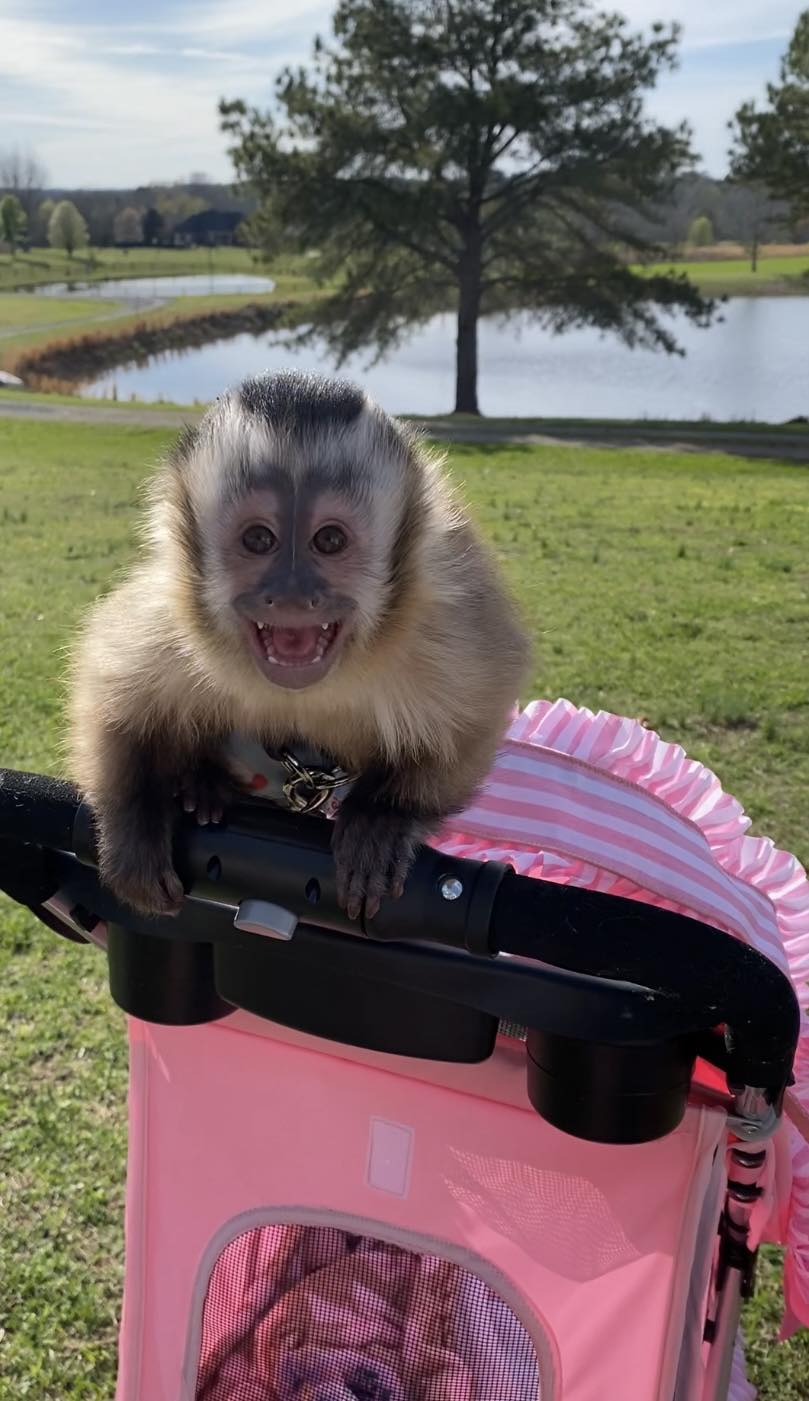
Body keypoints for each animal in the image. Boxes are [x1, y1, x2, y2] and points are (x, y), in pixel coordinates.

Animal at [68, 370, 530, 922]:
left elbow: (471, 720)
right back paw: (200, 782)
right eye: (258, 539)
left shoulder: (445, 620)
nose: (290, 594)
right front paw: (135, 825)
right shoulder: (173, 617)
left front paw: (384, 817)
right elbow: (116, 698)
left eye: (329, 540)